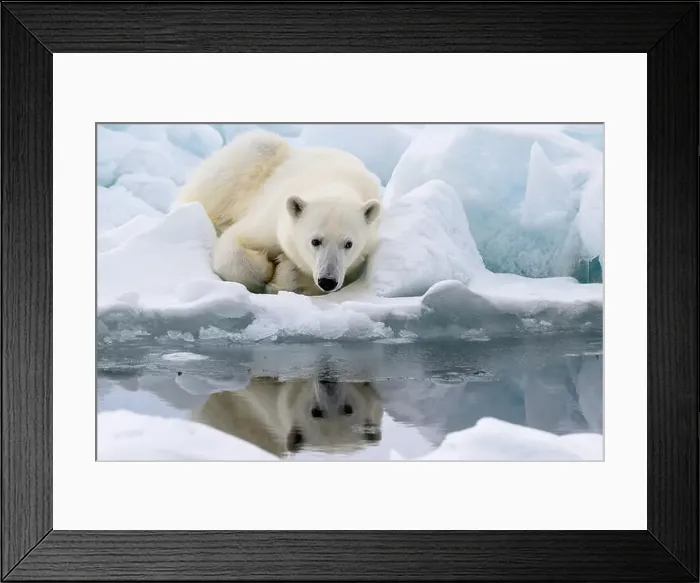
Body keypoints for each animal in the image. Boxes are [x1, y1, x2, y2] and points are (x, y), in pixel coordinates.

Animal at [173, 129, 382, 295]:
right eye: (315, 241)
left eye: (349, 243)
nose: (328, 280)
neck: (334, 183)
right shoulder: (272, 219)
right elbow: (234, 244)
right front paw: (265, 269)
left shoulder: (359, 258)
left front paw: (283, 273)